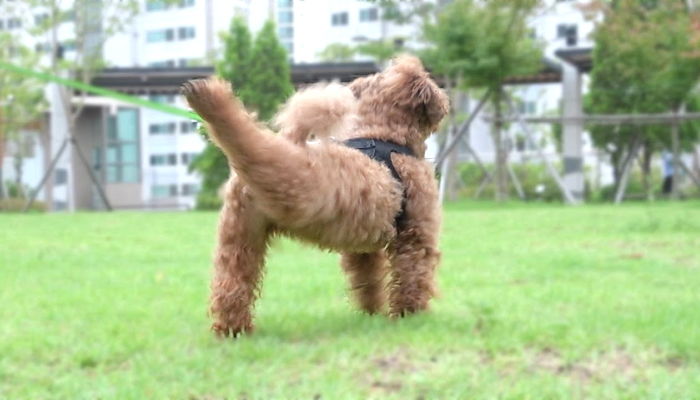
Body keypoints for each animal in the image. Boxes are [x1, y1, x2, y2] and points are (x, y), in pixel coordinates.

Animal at [183, 54, 448, 336]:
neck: (383, 135)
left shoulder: (362, 249)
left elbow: (368, 280)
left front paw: (371, 314)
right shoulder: (416, 234)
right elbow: (413, 277)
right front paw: (410, 316)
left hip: (240, 237)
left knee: (231, 286)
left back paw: (233, 330)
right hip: (283, 189)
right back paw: (210, 96)